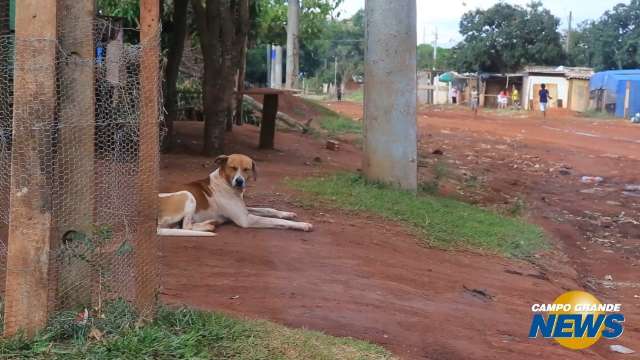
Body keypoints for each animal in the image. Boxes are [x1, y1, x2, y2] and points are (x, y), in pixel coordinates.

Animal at [158, 153, 312, 238]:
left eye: (246, 169)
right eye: (232, 168)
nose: (239, 181)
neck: (225, 183)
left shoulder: (243, 209)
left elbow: (268, 209)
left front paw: (287, 213)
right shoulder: (246, 219)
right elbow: (276, 221)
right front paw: (303, 225)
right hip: (187, 194)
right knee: (186, 227)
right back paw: (210, 225)